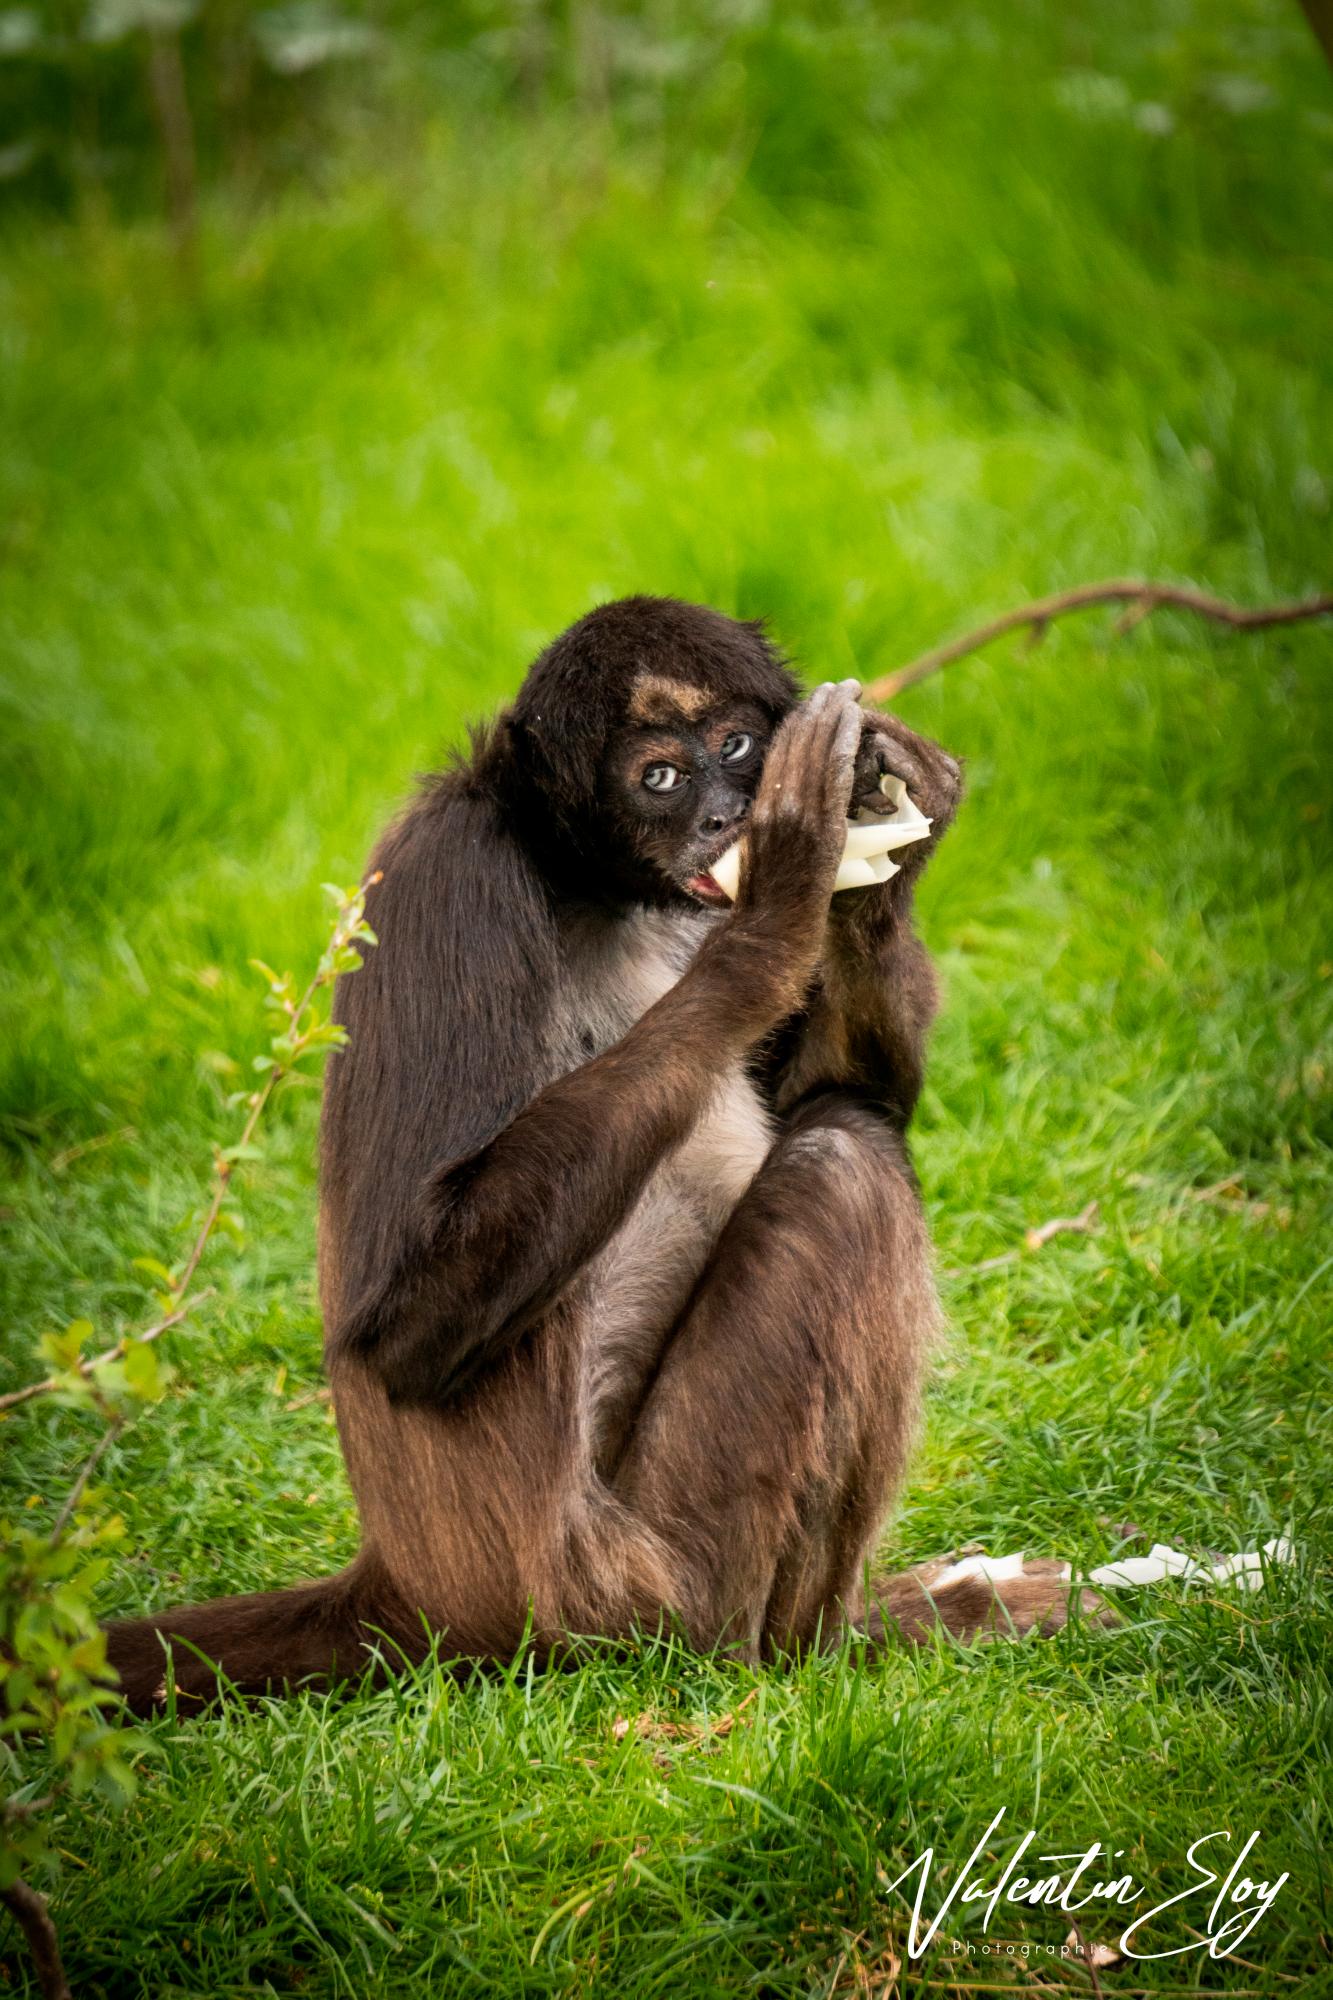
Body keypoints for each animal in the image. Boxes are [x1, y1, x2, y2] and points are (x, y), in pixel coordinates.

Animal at [106, 596, 1096, 1720]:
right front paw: (780, 902)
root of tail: (412, 1587)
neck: (589, 885)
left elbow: (843, 1083)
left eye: (735, 747)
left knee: (846, 1119)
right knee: (843, 1161)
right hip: (620, 1581)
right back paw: (814, 1650)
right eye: (658, 776)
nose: (725, 818)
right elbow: (406, 1326)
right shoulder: (452, 873)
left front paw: (892, 830)